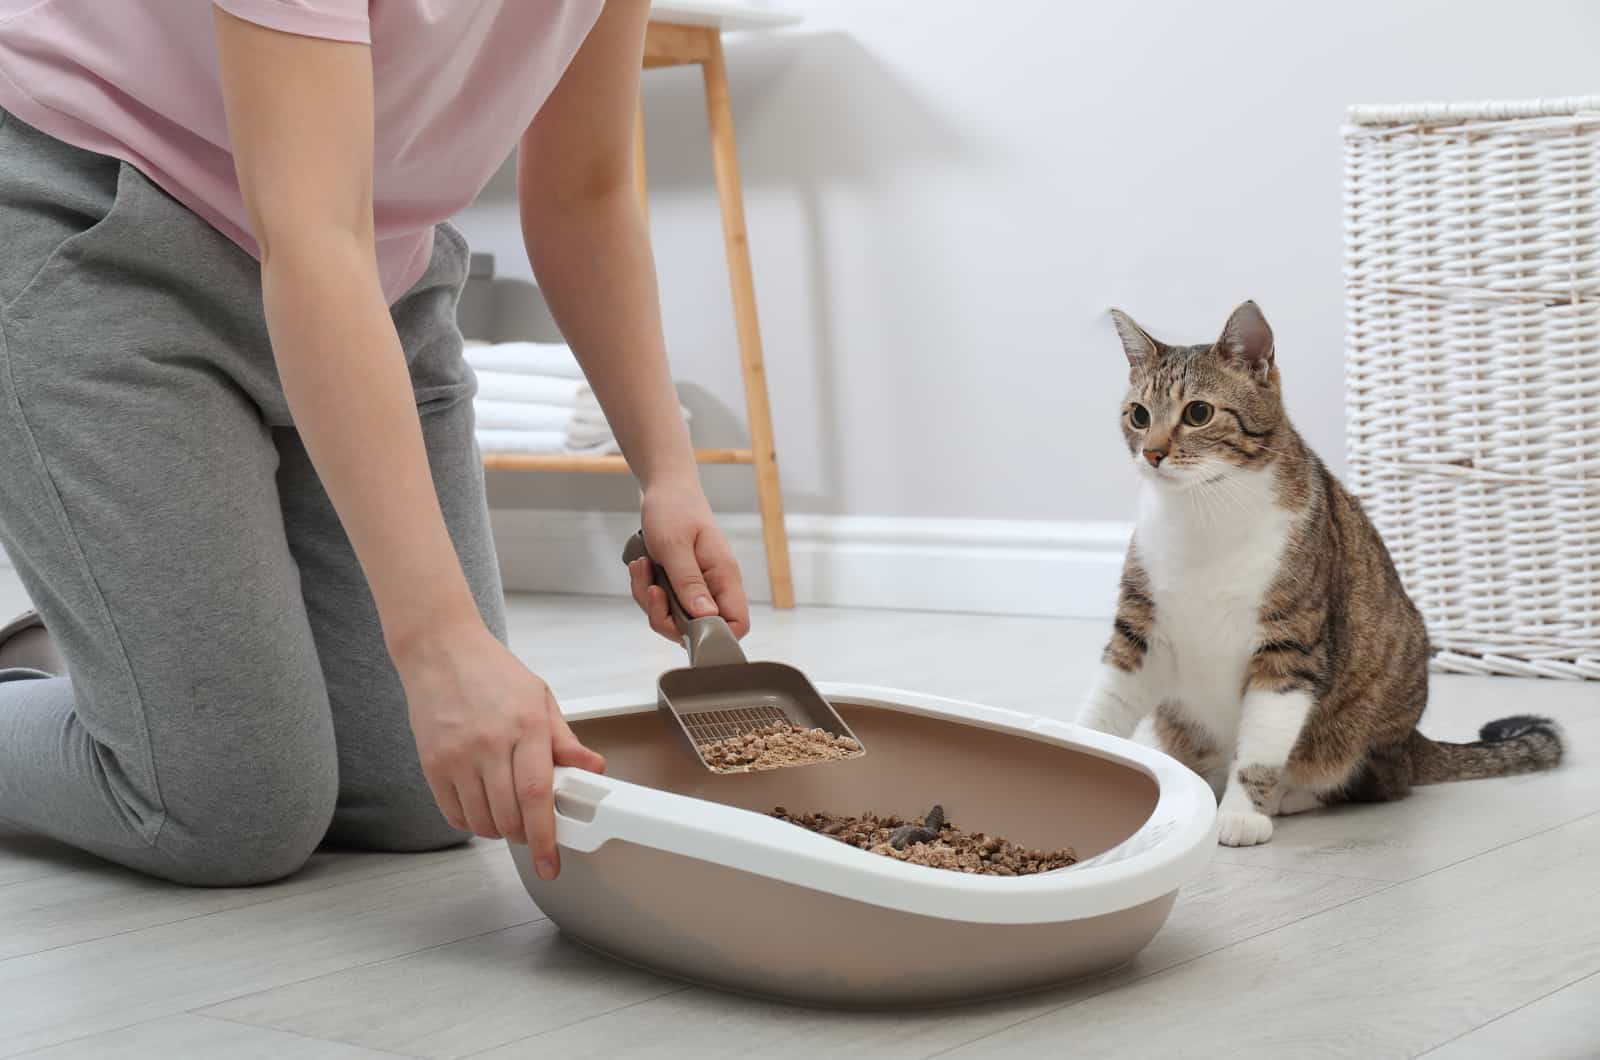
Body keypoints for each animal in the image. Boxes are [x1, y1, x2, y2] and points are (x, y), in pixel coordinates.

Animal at [1075, 302, 1561, 851]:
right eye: (1139, 415)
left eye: (1198, 412)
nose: (1153, 453)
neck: (1203, 514)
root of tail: (1413, 743)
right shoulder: (1139, 628)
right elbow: (1106, 704)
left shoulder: (1290, 643)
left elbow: (1263, 743)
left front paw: (1242, 813)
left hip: (1366, 721)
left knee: (1369, 781)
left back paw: (1288, 795)